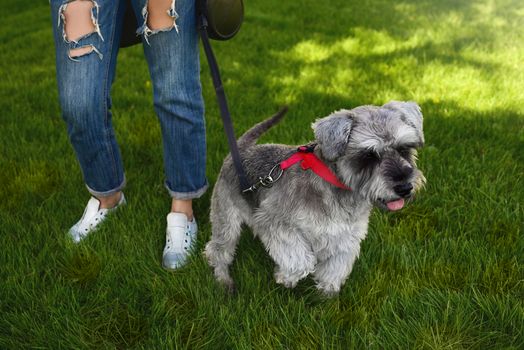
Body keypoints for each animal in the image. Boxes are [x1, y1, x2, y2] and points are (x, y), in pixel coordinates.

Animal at [205, 100, 426, 296]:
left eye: (404, 148)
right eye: (369, 155)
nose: (404, 187)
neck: (338, 189)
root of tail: (241, 149)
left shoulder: (346, 237)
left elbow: (335, 268)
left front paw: (326, 295)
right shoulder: (273, 221)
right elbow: (300, 260)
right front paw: (285, 277)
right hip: (226, 219)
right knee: (217, 251)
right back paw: (224, 281)